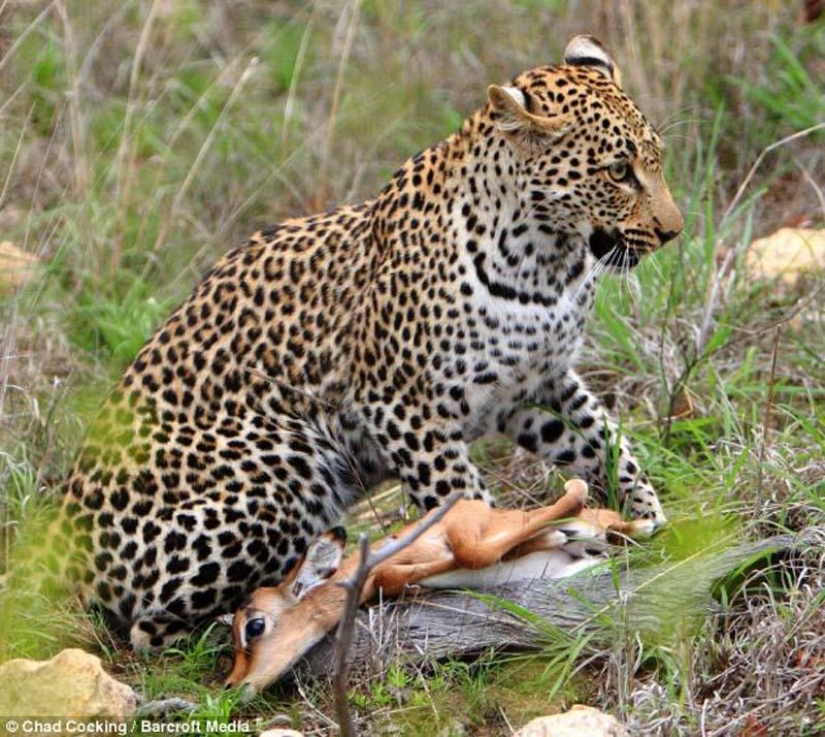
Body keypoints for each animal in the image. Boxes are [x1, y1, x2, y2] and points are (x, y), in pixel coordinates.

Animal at [45, 35, 683, 651]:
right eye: (618, 171)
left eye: (655, 159)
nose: (672, 231)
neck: (547, 263)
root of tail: (58, 545)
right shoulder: (404, 406)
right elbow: (468, 504)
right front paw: (525, 557)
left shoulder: (534, 384)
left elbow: (606, 441)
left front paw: (645, 517)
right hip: (284, 465)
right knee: (150, 629)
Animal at [221, 479, 652, 694]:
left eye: (254, 626)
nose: (231, 685)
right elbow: (399, 575)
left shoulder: (464, 516)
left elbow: (472, 552)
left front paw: (556, 531)